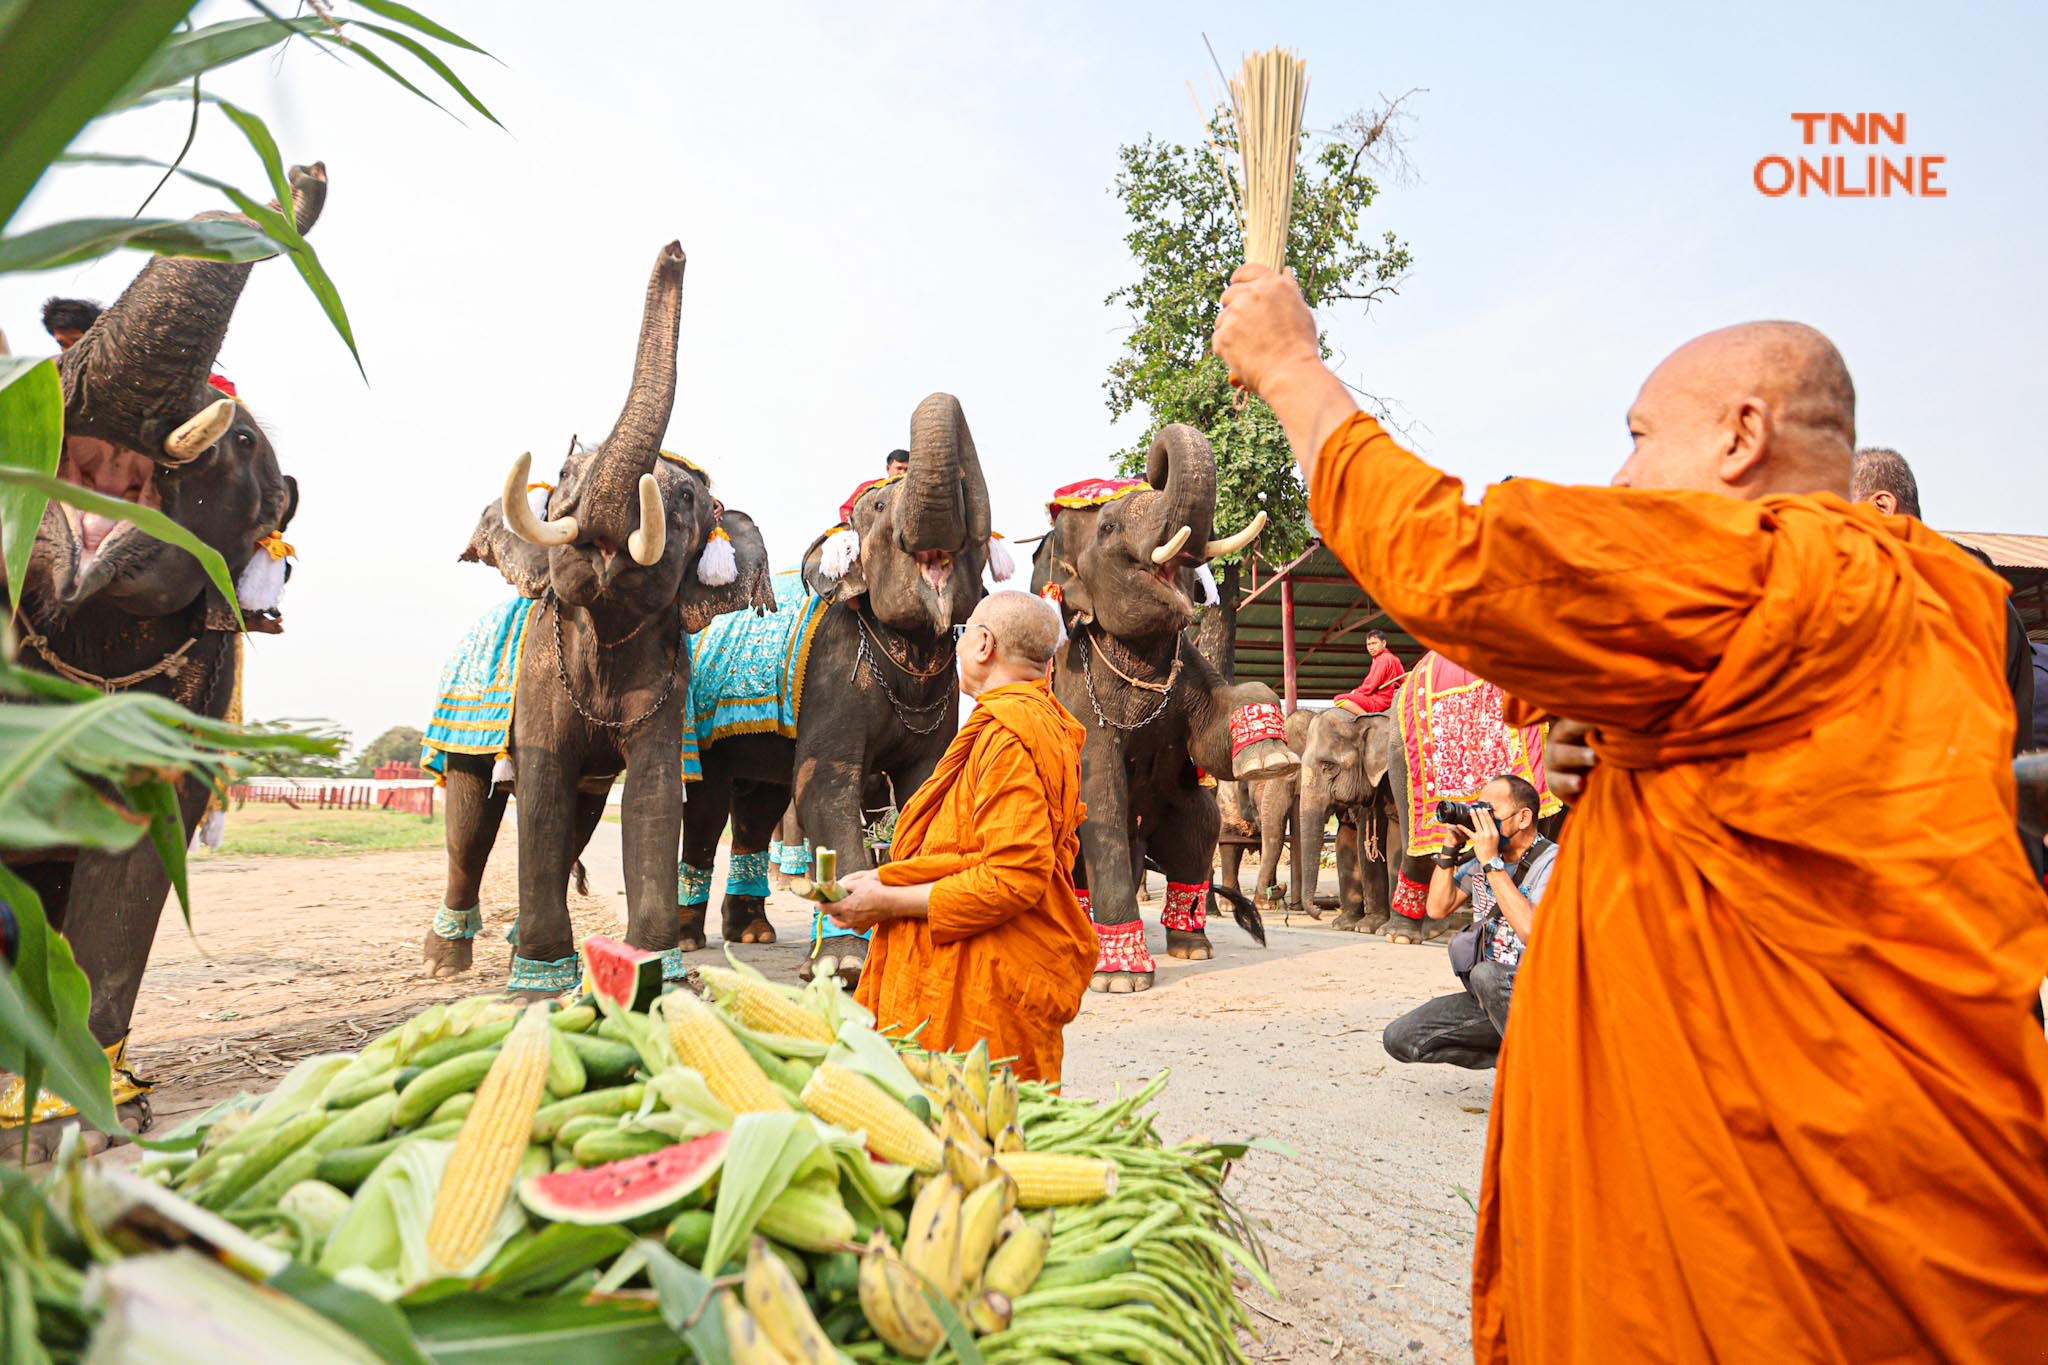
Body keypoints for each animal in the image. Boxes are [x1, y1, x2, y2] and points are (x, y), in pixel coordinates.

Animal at [4, 162, 325, 1154]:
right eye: (61, 360)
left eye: (242, 442)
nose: (305, 173)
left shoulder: (185, 701)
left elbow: (137, 845)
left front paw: (77, 1124)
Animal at [415, 245, 774, 994]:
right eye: (562, 475)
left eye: (688, 498)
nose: (676, 249)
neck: (605, 628)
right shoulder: (538, 675)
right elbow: (541, 788)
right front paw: (541, 982)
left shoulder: (669, 679)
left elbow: (653, 793)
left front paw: (654, 971)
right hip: (459, 713)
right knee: (470, 815)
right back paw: (444, 963)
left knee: (579, 815)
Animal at [675, 388, 995, 978]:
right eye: (877, 509)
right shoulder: (834, 669)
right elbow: (823, 784)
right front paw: (844, 965)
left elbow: (924, 787)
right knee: (708, 807)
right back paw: (689, 939)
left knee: (759, 804)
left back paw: (752, 933)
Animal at [1032, 427, 1302, 994]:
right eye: (1108, 527)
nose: (1156, 464)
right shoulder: (1077, 689)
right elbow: (1101, 795)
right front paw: (1122, 981)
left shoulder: (1190, 666)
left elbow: (1213, 742)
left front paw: (1271, 758)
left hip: (1194, 814)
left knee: (1196, 833)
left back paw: (1193, 946)